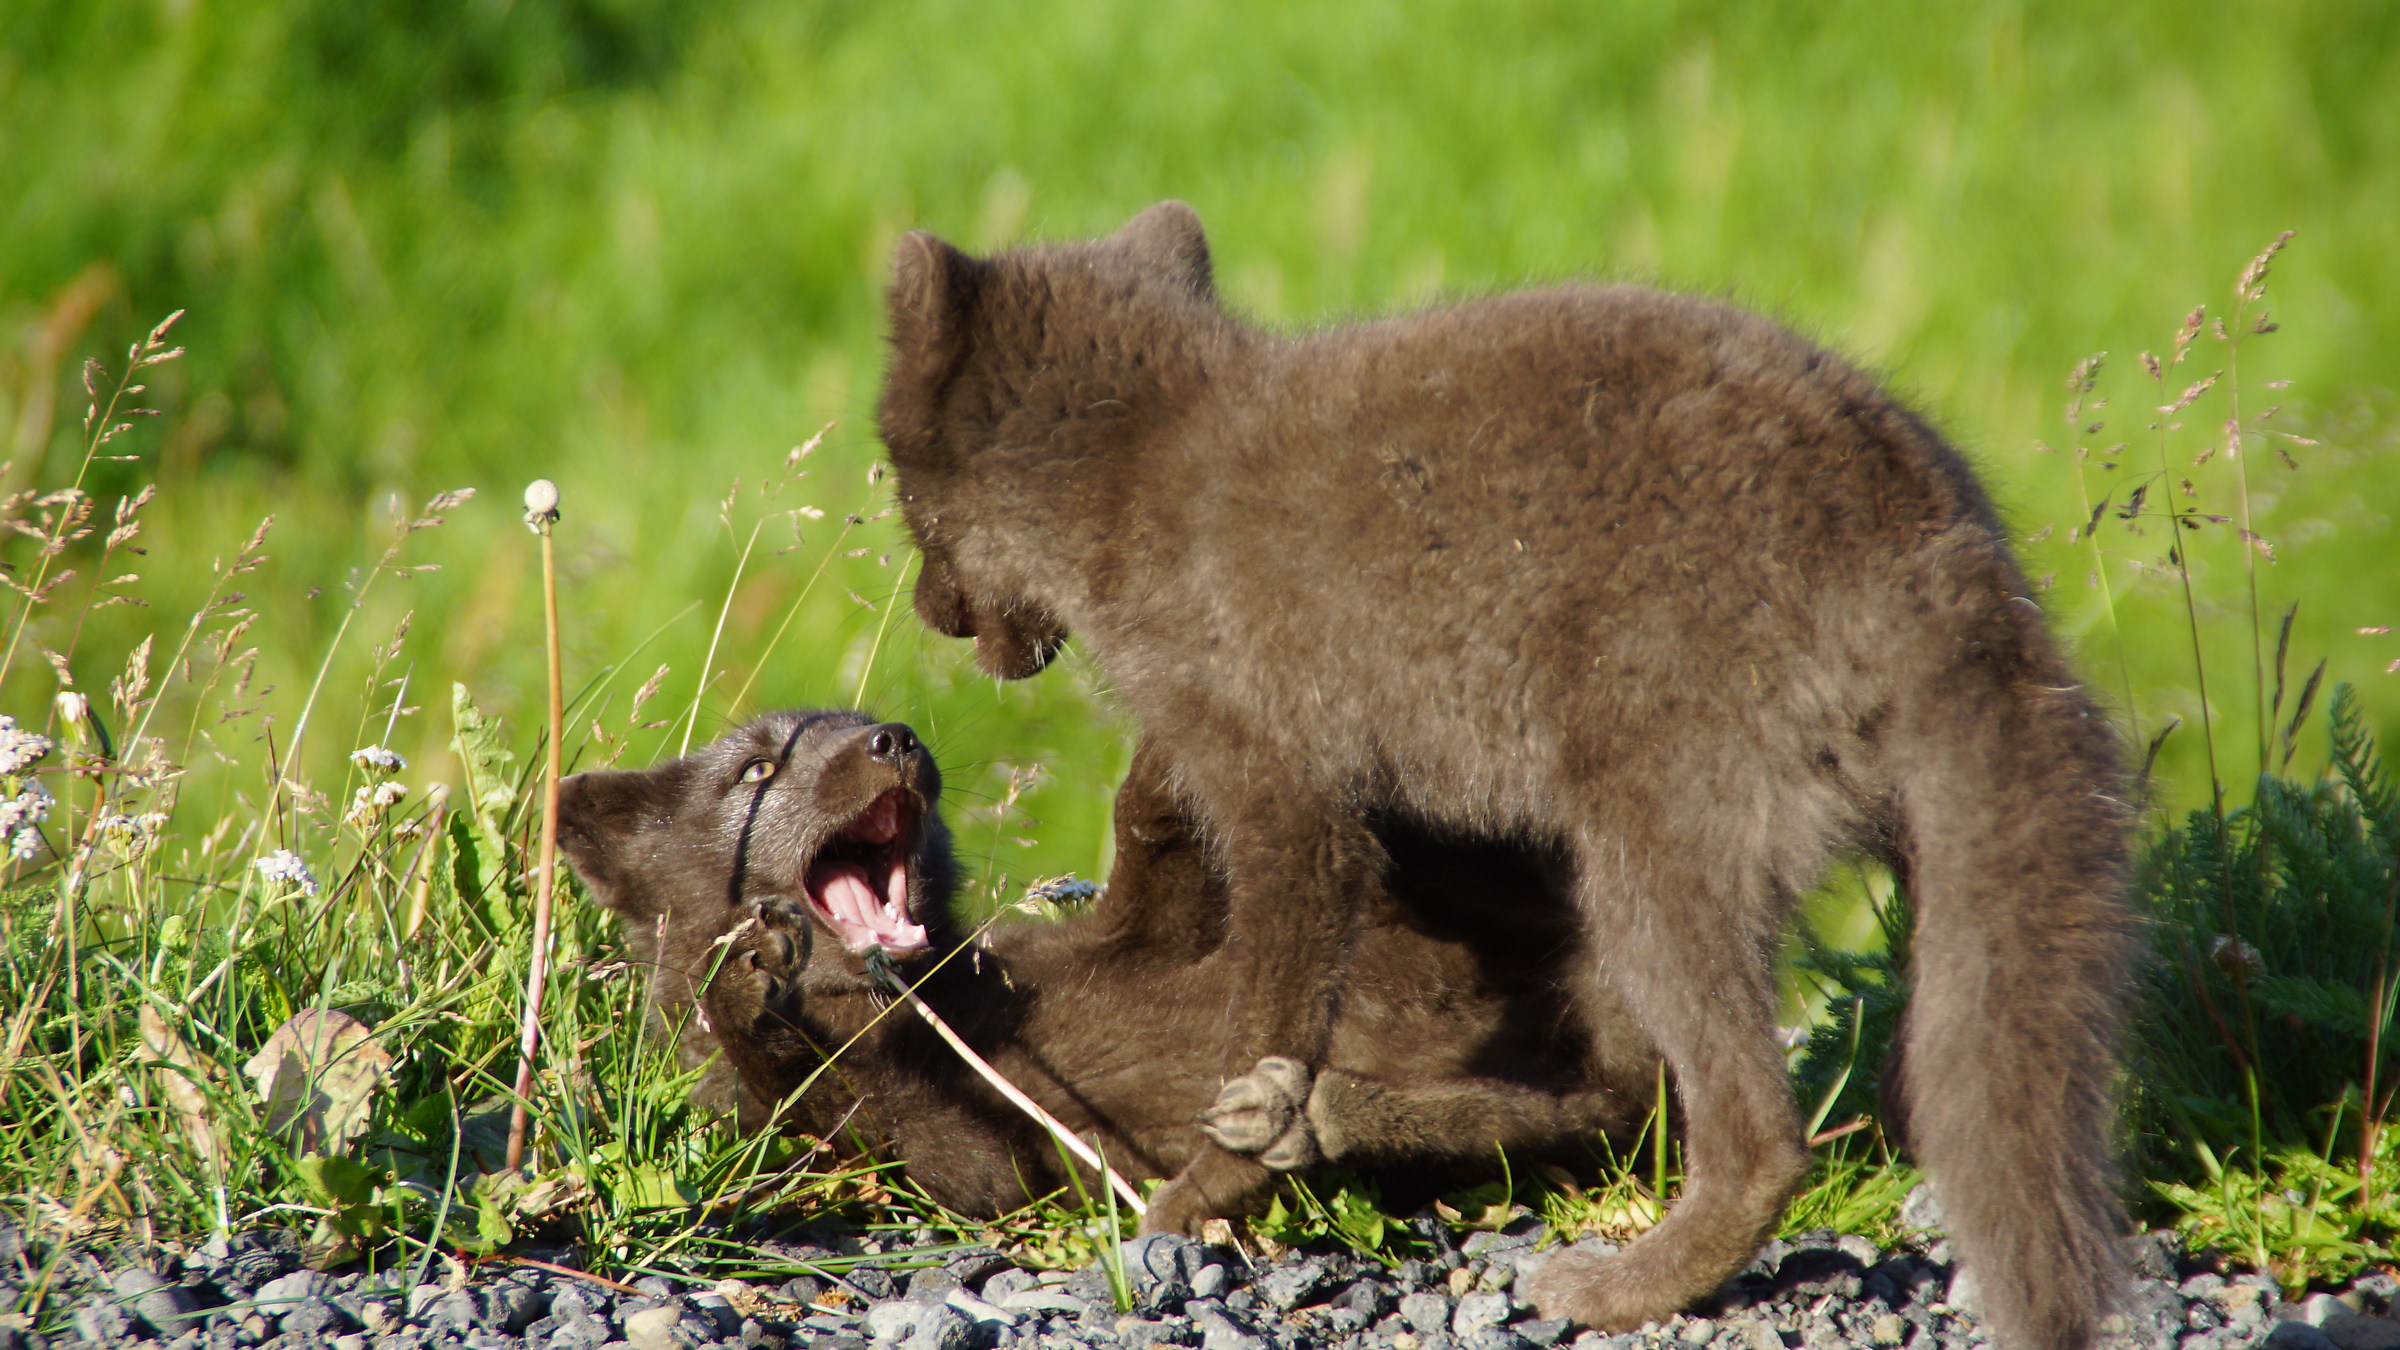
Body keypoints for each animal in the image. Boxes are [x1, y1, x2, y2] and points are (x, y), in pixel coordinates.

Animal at [556, 710, 1660, 1216]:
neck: (928, 1003)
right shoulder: (960, 1170)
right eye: (756, 766)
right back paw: (1313, 1119)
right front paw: (745, 982)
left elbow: (1152, 848)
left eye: (864, 720)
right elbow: (810, 1086)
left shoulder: (1115, 940)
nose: (896, 738)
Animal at [872, 202, 2136, 1348]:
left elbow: (1272, 996)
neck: (1140, 471)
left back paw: (1609, 1280)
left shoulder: (1283, 785)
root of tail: (1928, 553)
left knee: (1744, 1131)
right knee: (1672, 1083)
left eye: (892, 468)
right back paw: (1341, 1121)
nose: (928, 613)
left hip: (1654, 846)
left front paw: (1196, 1197)